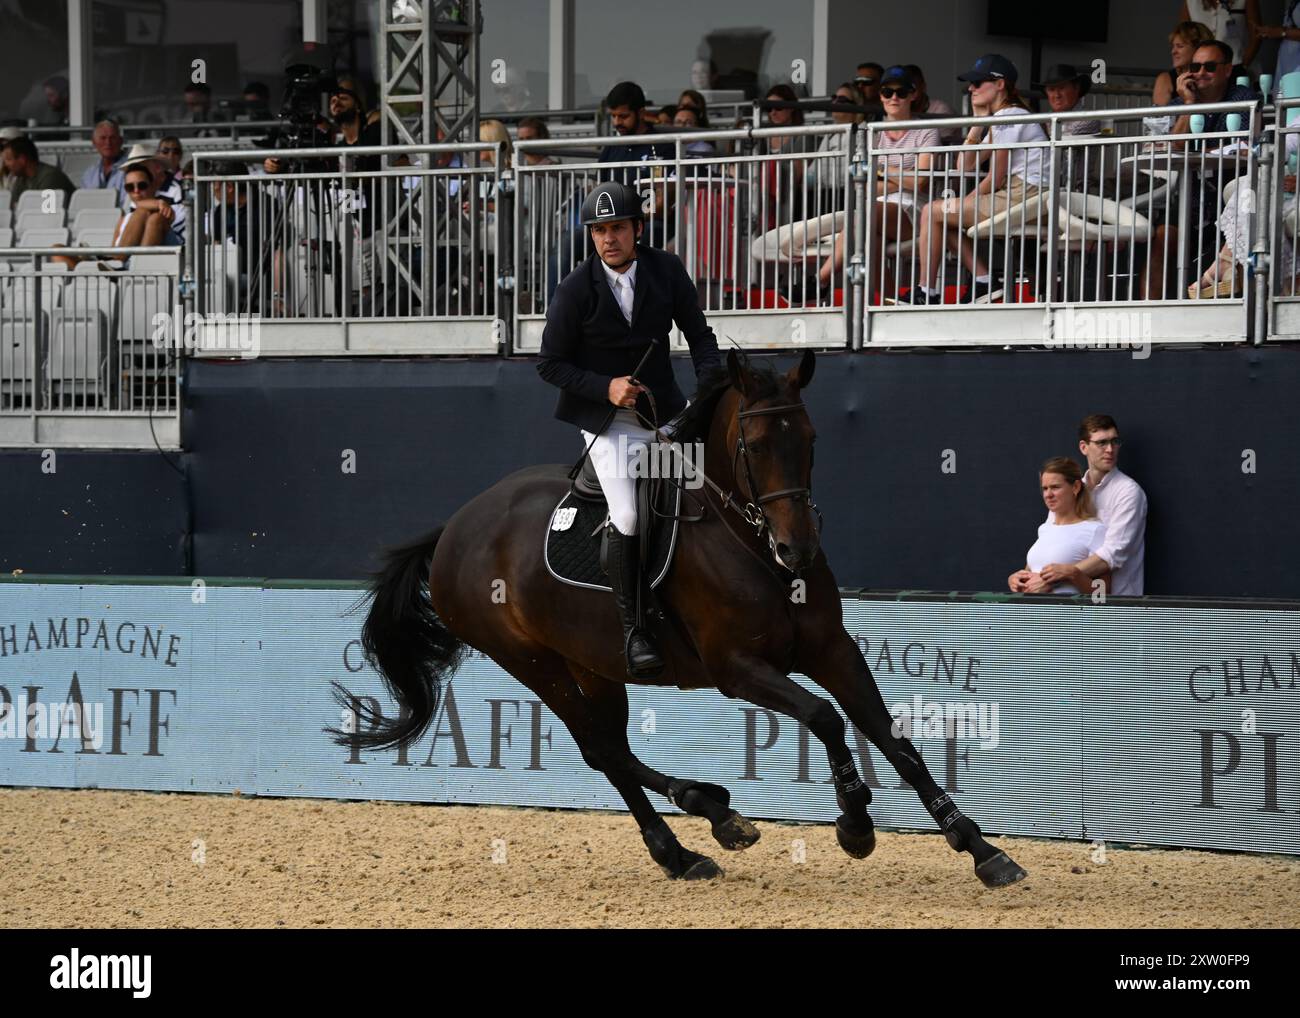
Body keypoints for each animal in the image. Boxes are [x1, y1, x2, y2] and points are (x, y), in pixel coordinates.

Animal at [340, 351, 1029, 894]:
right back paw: (692, 836)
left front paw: (981, 849)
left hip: (594, 662)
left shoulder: (832, 650)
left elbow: (894, 739)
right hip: (531, 661)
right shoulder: (737, 668)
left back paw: (704, 822)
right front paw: (855, 824)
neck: (749, 542)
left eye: (810, 441)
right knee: (602, 750)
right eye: (755, 447)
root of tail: (456, 526)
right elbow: (826, 718)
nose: (799, 551)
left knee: (611, 747)